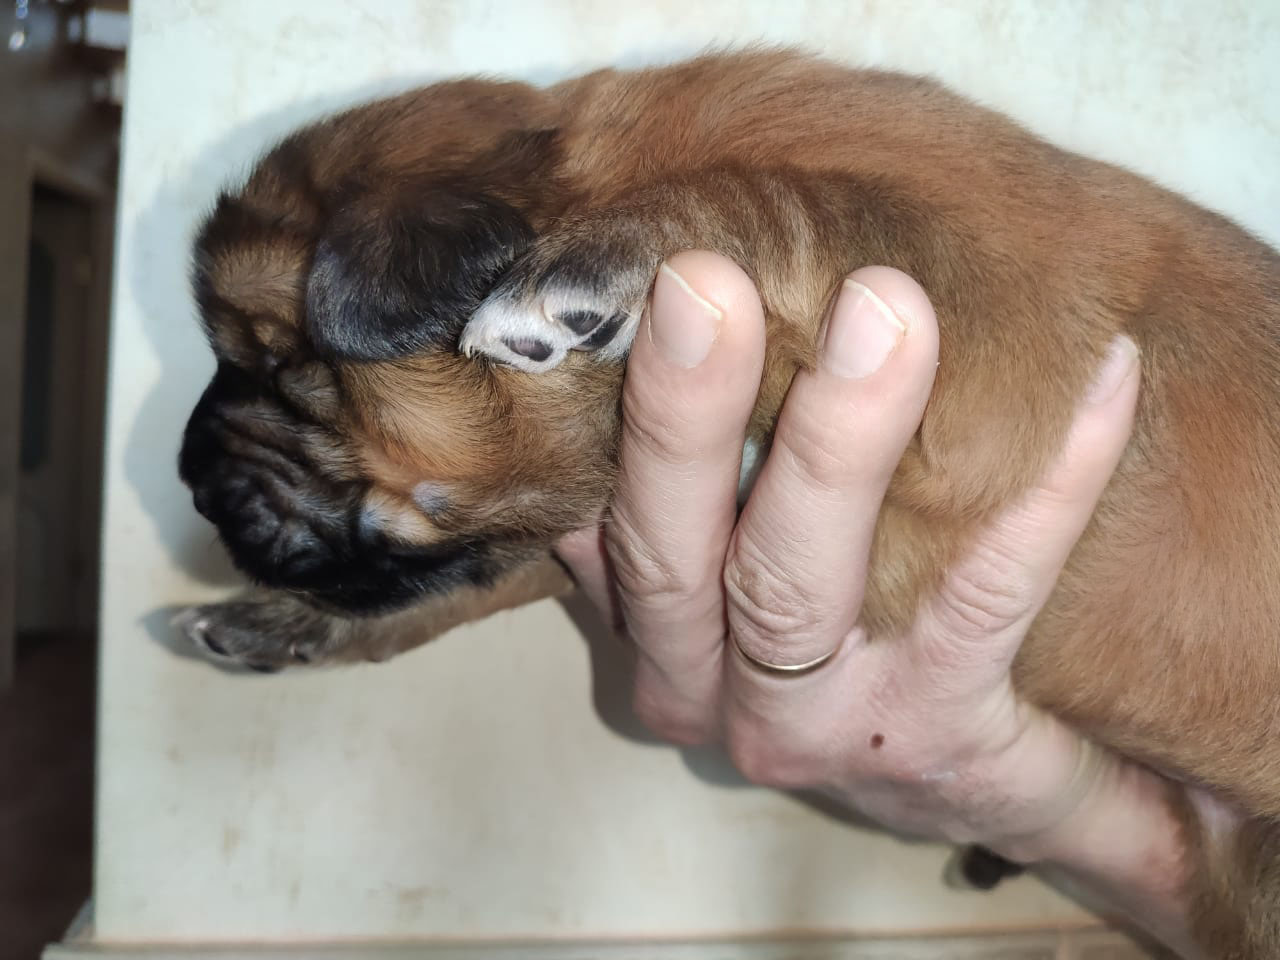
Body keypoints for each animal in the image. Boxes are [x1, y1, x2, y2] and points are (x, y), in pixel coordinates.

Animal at [176, 50, 1280, 956]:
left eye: (274, 365)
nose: (186, 476)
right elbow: (475, 581)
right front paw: (286, 623)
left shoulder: (1002, 334)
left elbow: (806, 202)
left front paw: (589, 265)